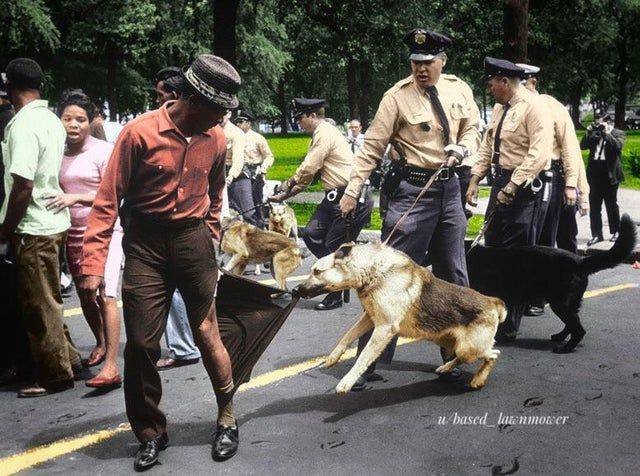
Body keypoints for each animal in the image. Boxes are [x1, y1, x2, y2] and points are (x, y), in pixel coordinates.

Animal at [295, 242, 507, 393]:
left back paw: (478, 379)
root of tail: (493, 301)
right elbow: (347, 336)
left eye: (316, 271)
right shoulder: (370, 318)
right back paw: (446, 368)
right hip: (448, 341)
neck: (373, 270)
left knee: (493, 355)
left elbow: (363, 357)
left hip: (469, 347)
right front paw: (333, 357)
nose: (295, 290)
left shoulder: (384, 328)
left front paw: (348, 381)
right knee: (462, 358)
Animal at [466, 213, 637, 353]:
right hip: (568, 302)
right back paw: (560, 337)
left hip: (560, 303)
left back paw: (566, 348)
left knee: (579, 329)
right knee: (572, 324)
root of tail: (580, 261)